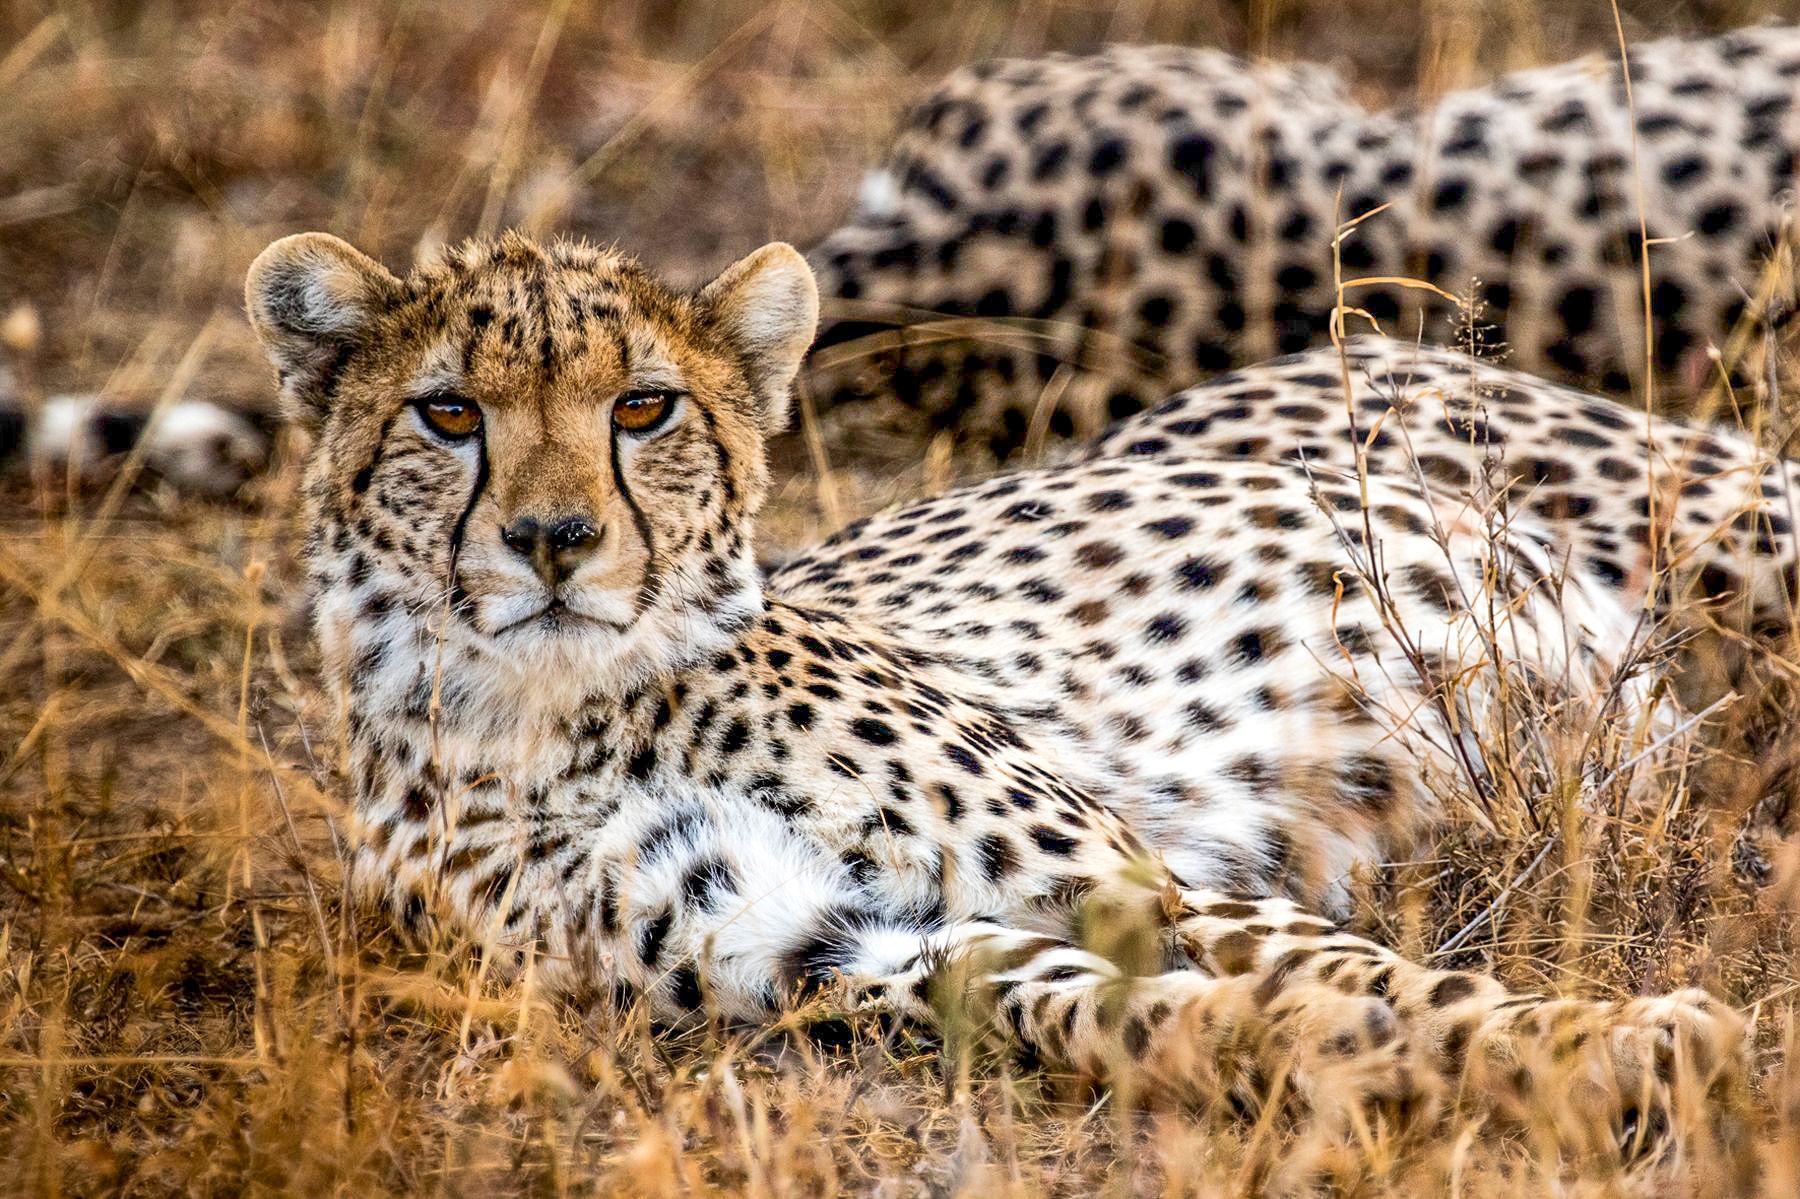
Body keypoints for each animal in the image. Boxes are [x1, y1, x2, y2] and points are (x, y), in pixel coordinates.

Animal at [244, 229, 1759, 1149]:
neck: (564, 708)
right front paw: (1341, 1048)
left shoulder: (1113, 866)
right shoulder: (821, 943)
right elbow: (1143, 1005)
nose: (552, 541)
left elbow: (1351, 965)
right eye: (449, 413)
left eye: (643, 408)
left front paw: (1606, 1044)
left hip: (1739, 528)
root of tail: (1367, 339)